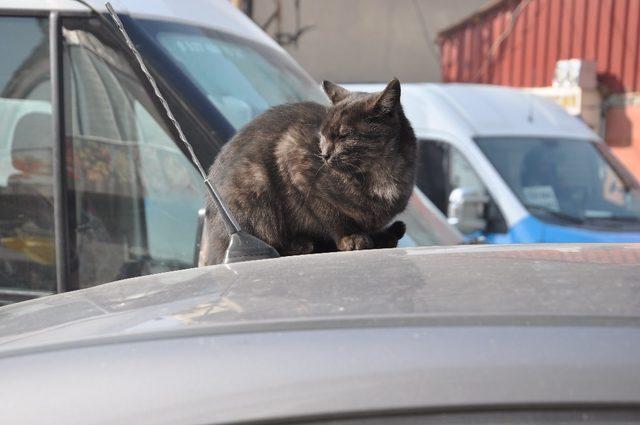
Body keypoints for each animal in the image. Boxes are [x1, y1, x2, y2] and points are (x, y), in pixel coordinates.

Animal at [202, 78, 418, 264]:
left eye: (344, 136)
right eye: (322, 136)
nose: (324, 154)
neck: (379, 171)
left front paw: (378, 237)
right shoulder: (293, 158)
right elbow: (331, 214)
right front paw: (351, 237)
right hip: (255, 189)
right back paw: (300, 244)